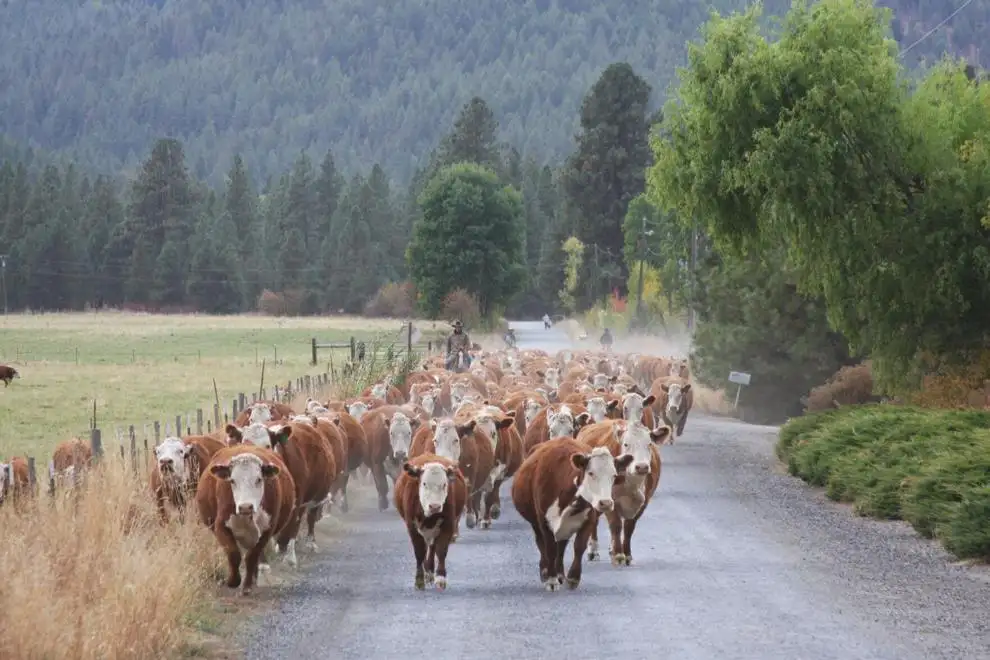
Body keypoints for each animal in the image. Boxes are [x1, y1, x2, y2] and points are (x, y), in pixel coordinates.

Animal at [196, 445, 296, 595]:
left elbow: (252, 557)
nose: (245, 507)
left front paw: (247, 585)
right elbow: (233, 554)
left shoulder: (267, 531)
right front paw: (233, 581)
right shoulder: (221, 526)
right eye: (232, 480)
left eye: (258, 479)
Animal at [394, 454, 467, 591]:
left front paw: (440, 578)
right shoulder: (412, 527)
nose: (435, 506)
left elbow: (441, 550)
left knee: (432, 547)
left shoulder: (448, 525)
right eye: (424, 483)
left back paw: (430, 571)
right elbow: (419, 552)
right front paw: (419, 580)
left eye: (444, 484)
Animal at [511, 437, 634, 591]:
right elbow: (549, 548)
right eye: (591, 473)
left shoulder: (589, 519)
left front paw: (573, 577)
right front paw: (551, 579)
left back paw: (560, 573)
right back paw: (545, 572)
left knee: (561, 547)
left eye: (614, 475)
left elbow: (579, 546)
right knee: (542, 544)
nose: (605, 503)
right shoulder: (544, 521)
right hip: (535, 522)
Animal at [577, 420, 669, 565]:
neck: (631, 484)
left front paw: (627, 554)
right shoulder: (609, 501)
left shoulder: (644, 502)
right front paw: (618, 555)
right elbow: (615, 525)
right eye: (626, 444)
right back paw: (594, 550)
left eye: (649, 444)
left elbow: (628, 527)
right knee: (594, 520)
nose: (642, 466)